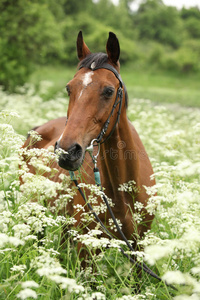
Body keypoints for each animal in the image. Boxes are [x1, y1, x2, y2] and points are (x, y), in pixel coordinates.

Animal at [22, 31, 155, 253]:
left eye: (109, 91)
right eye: (69, 88)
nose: (67, 152)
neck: (124, 191)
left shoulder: (141, 248)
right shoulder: (86, 248)